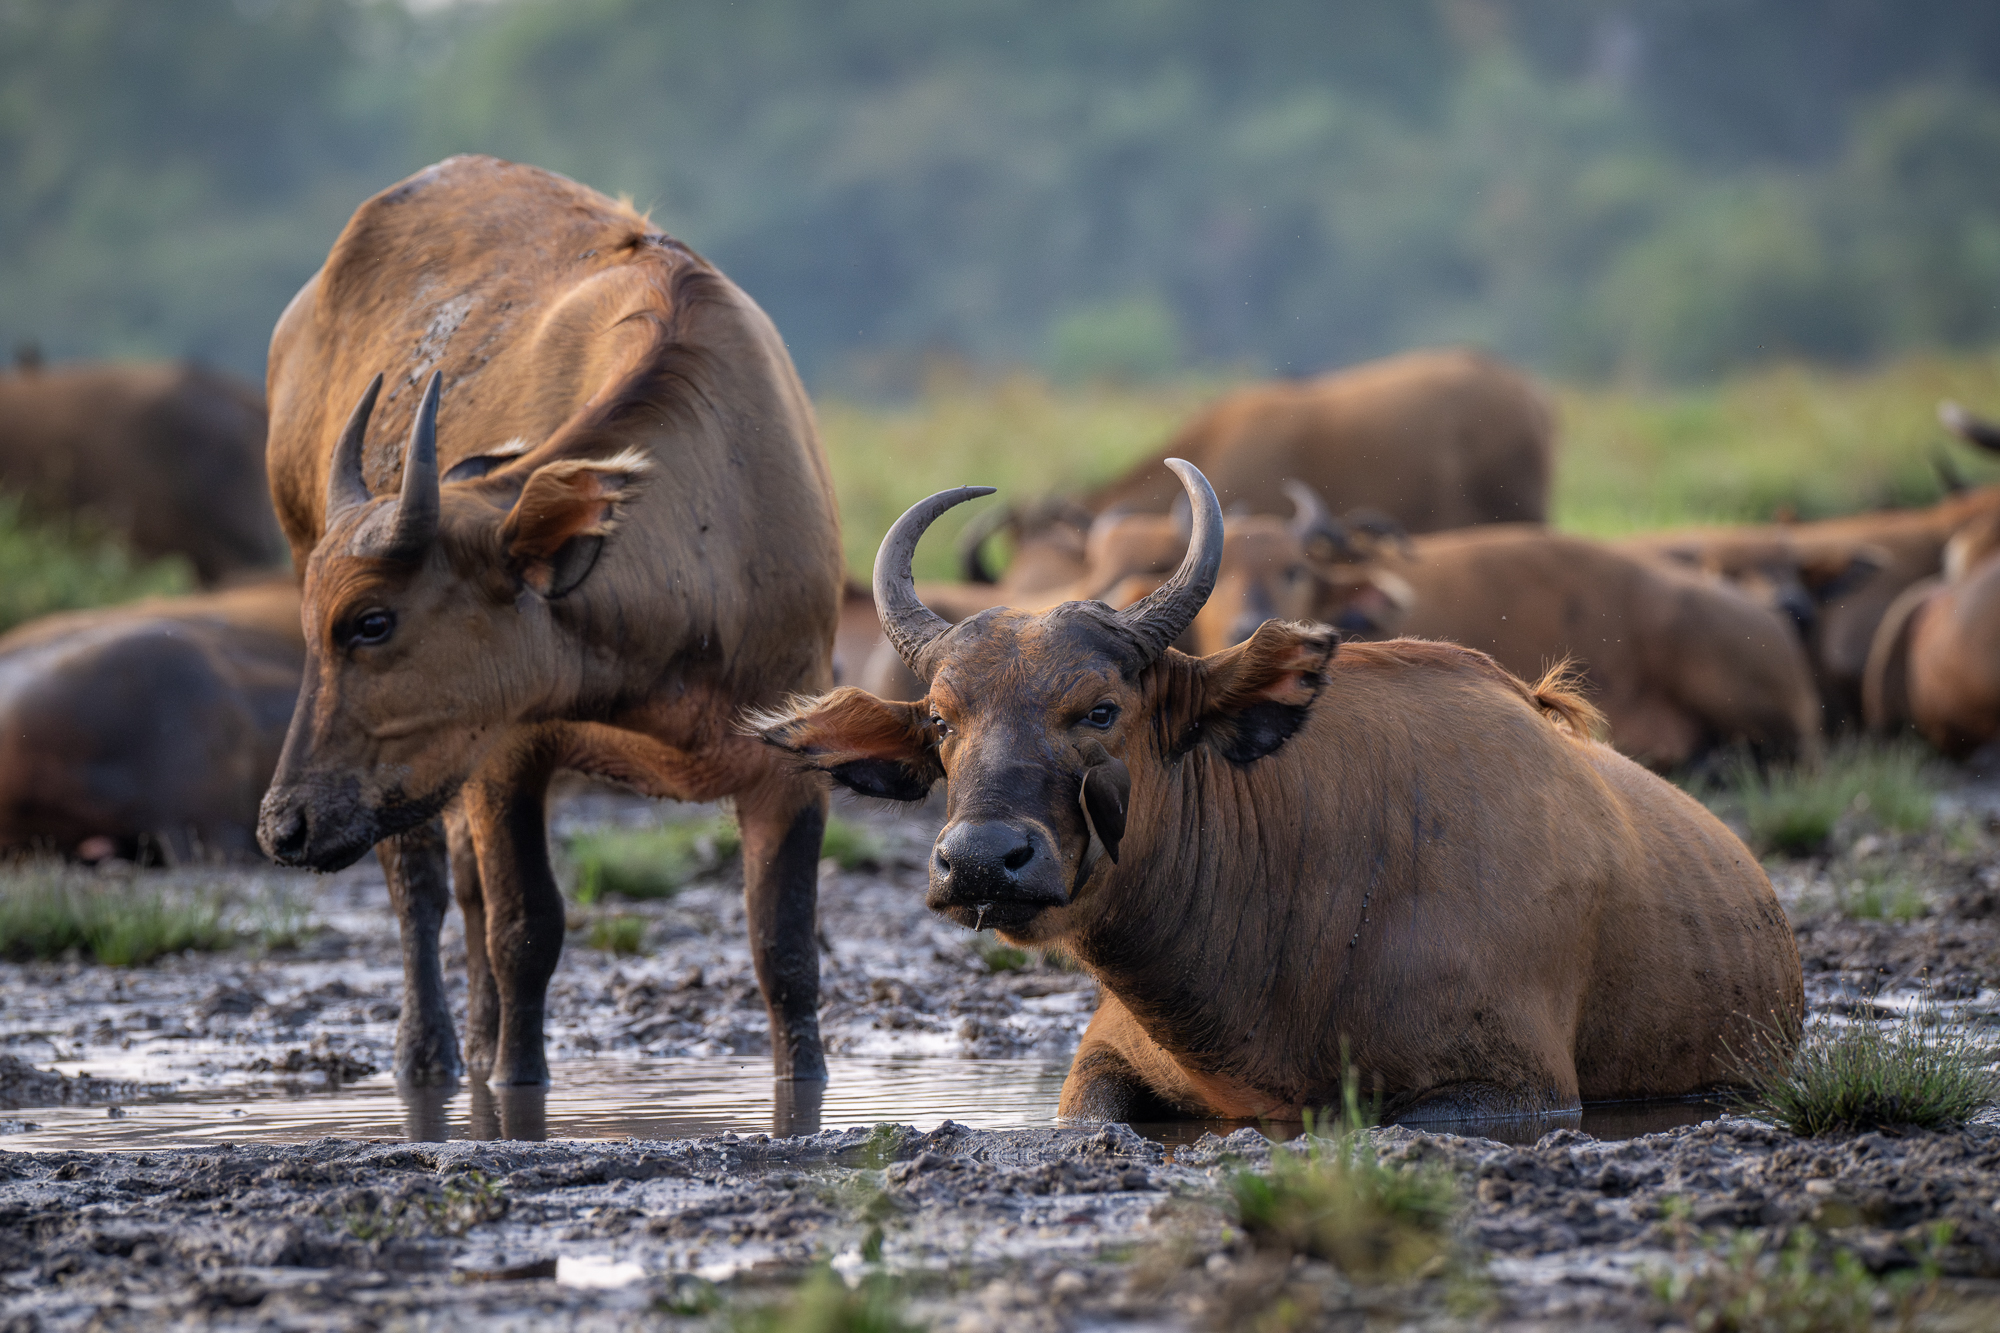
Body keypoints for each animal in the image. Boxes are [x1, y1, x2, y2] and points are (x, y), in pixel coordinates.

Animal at [256, 156, 843, 1088]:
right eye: (317, 626)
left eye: (371, 621)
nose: (283, 824)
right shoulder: (505, 751)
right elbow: (525, 933)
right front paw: (513, 1077)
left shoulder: (791, 760)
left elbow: (785, 954)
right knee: (422, 881)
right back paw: (430, 1053)